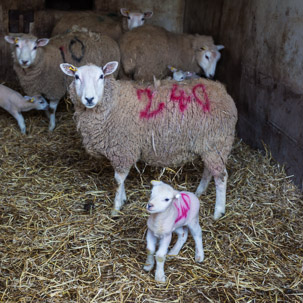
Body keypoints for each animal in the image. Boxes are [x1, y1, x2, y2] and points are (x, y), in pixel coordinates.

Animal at [60, 61, 240, 221]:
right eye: (76, 76)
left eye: (101, 76)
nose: (89, 99)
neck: (112, 103)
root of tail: (223, 92)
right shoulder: (122, 151)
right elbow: (121, 180)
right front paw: (123, 199)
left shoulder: (123, 149)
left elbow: (118, 180)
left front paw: (116, 208)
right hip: (210, 147)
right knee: (209, 171)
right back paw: (199, 191)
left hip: (217, 142)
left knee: (221, 177)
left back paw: (218, 212)